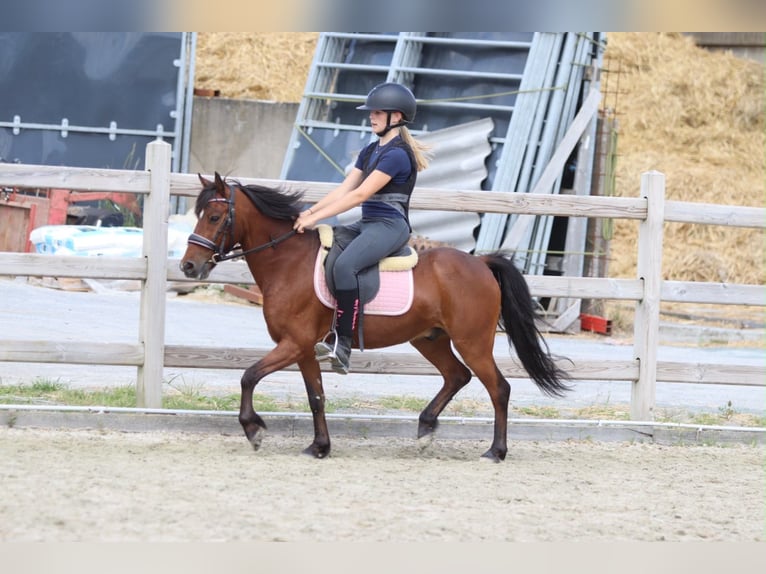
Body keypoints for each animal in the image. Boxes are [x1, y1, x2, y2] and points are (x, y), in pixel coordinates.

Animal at [180, 172, 571, 462]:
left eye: (214, 217)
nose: (188, 266)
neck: (288, 262)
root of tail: (481, 263)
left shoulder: (294, 343)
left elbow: (248, 376)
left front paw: (254, 429)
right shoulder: (303, 348)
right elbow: (316, 396)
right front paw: (319, 447)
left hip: (472, 341)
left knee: (498, 388)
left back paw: (495, 451)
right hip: (430, 339)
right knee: (457, 376)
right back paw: (425, 430)